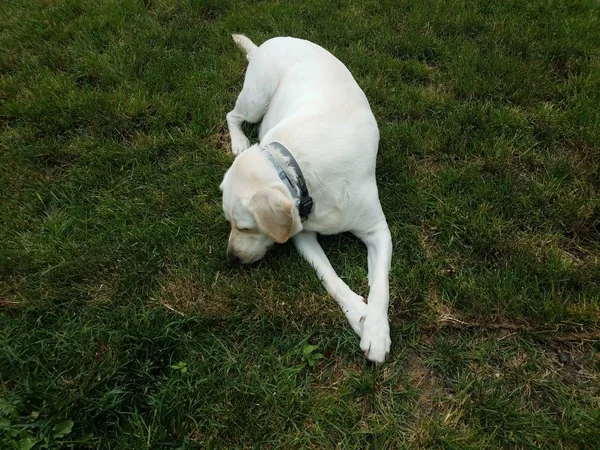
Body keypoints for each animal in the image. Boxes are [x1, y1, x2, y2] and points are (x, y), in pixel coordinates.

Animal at [220, 35, 394, 362]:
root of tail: (267, 42)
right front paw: (358, 312)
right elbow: (329, 277)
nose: (231, 258)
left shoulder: (378, 230)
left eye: (245, 227)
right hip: (255, 100)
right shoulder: (301, 234)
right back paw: (238, 142)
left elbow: (381, 284)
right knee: (232, 116)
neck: (295, 168)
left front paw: (376, 331)